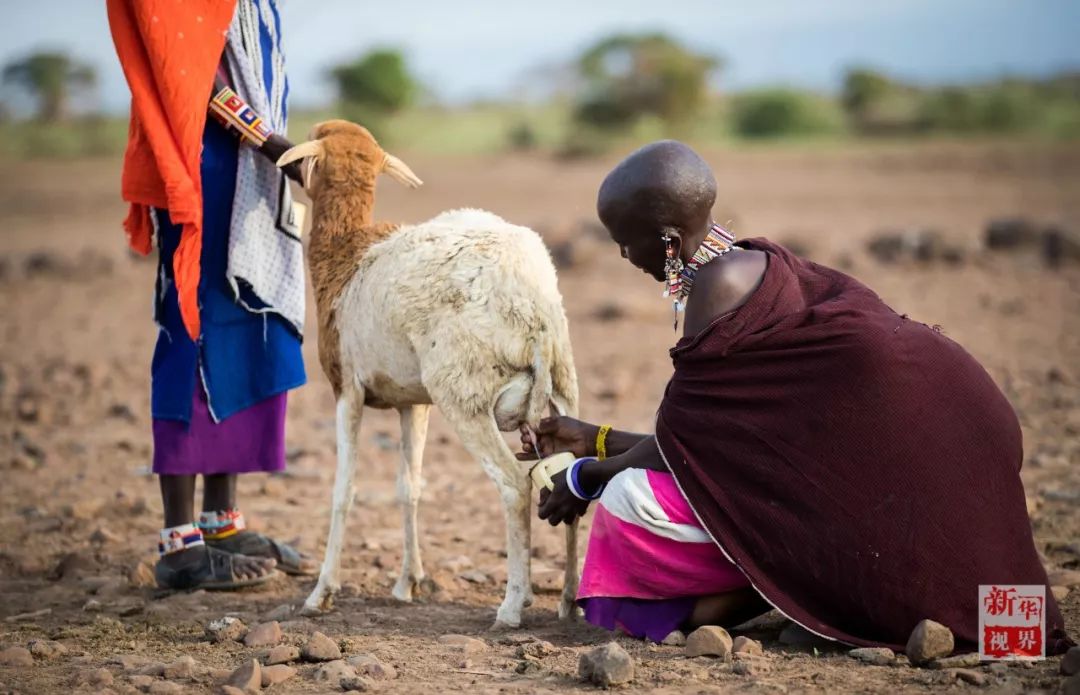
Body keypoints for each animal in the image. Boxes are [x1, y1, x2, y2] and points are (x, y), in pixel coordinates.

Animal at [278, 120, 583, 630]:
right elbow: (410, 488)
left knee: (515, 487)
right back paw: (570, 602)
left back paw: (512, 606)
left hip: (465, 399)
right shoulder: (412, 403)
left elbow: (344, 490)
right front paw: (408, 583)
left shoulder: (347, 391)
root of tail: (531, 307)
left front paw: (321, 592)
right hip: (561, 392)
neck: (348, 254)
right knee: (573, 480)